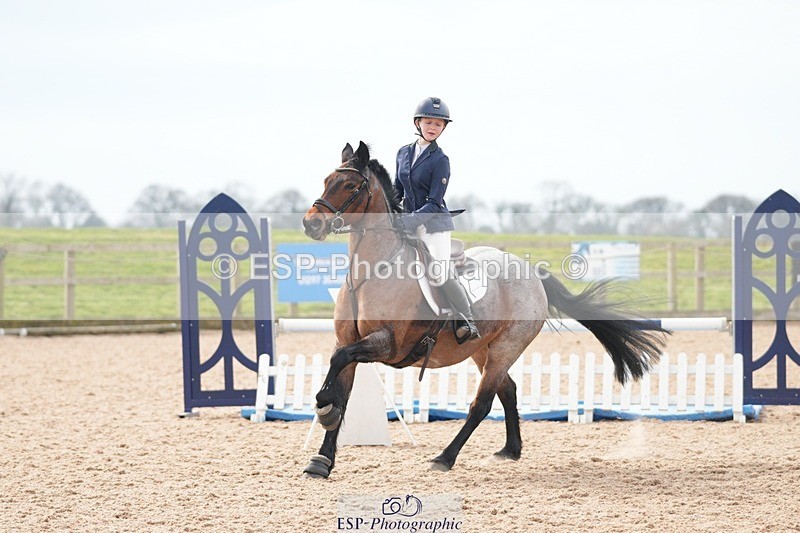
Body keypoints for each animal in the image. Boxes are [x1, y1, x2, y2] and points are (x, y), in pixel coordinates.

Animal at [300, 141, 669, 478]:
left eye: (350, 185)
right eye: (326, 180)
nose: (310, 225)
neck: (371, 272)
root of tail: (531, 272)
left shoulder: (387, 343)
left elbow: (338, 367)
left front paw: (323, 407)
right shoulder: (348, 340)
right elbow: (342, 386)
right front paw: (321, 460)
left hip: (508, 346)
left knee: (483, 402)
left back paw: (445, 458)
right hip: (481, 349)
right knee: (508, 390)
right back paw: (510, 450)